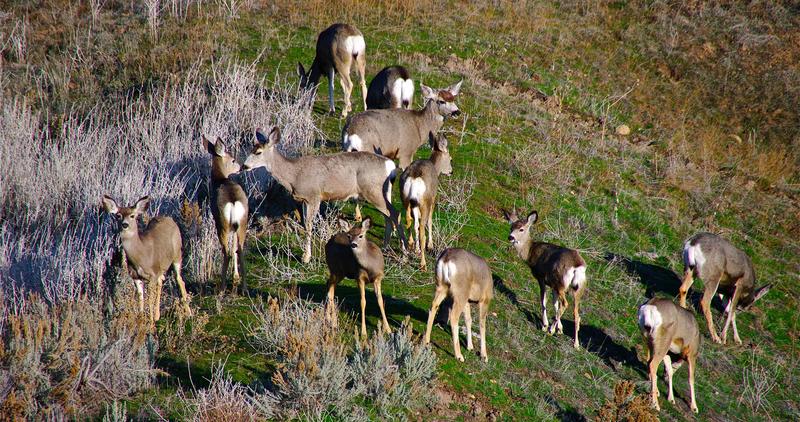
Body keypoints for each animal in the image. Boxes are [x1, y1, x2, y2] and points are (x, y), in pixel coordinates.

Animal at [101, 195, 192, 324]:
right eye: (118, 215)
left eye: (132, 215)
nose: (125, 225)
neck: (141, 255)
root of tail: (168, 218)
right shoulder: (136, 277)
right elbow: (141, 298)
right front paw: (142, 319)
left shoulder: (152, 275)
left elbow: (149, 299)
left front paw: (150, 322)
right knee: (162, 281)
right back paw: (158, 315)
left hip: (177, 255)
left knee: (180, 279)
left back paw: (189, 313)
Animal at [203, 137, 247, 296]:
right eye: (233, 160)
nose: (241, 167)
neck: (220, 179)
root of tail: (233, 202)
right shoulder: (235, 227)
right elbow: (234, 247)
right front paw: (235, 276)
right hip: (242, 223)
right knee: (240, 249)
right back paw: (243, 288)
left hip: (222, 224)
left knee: (226, 252)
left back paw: (221, 289)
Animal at [241, 126, 406, 264]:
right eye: (251, 148)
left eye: (258, 152)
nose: (244, 166)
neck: (294, 175)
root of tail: (390, 166)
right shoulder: (305, 200)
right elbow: (305, 224)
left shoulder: (314, 196)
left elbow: (308, 225)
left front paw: (306, 257)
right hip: (383, 192)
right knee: (388, 215)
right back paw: (385, 247)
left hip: (372, 190)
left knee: (395, 213)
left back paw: (404, 253)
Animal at [400, 134, 450, 268]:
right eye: (450, 158)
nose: (451, 171)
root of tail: (414, 177)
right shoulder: (432, 199)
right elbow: (430, 221)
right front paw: (430, 245)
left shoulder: (414, 204)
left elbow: (415, 223)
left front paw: (416, 249)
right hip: (424, 203)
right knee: (422, 226)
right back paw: (423, 264)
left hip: (406, 200)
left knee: (408, 220)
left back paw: (409, 247)